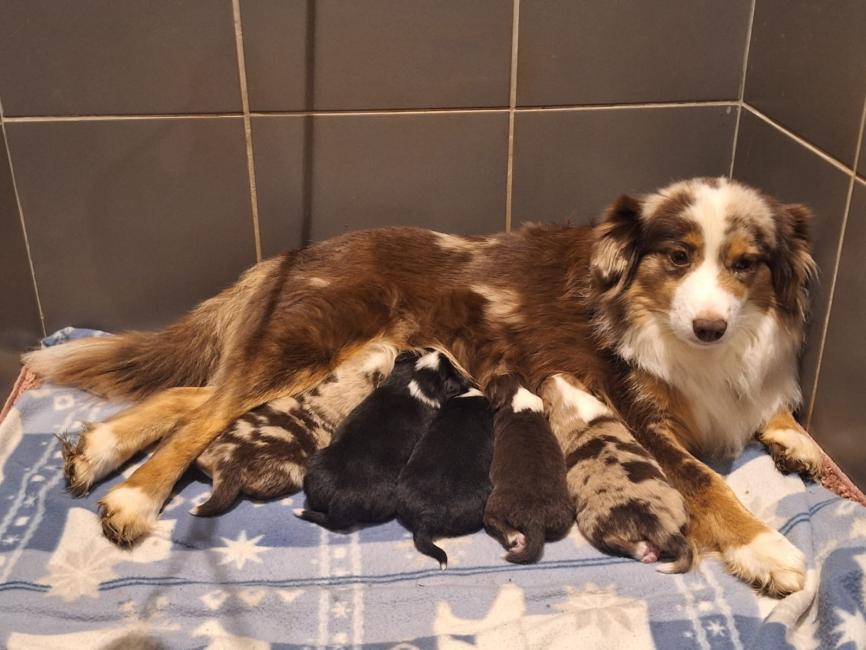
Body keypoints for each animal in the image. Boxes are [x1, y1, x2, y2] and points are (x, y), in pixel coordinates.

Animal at [296, 350, 466, 530]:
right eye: (451, 369)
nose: (442, 354)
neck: (419, 380)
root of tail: (339, 504)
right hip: (390, 500)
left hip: (316, 464)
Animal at [483, 375, 574, 563]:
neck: (517, 390)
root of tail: (535, 520)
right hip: (564, 515)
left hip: (495, 502)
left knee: (491, 519)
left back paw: (514, 537)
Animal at [542, 373, 691, 570]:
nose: (549, 375)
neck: (568, 397)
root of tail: (655, 519)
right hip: (678, 503)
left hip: (590, 523)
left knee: (613, 542)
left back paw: (644, 551)